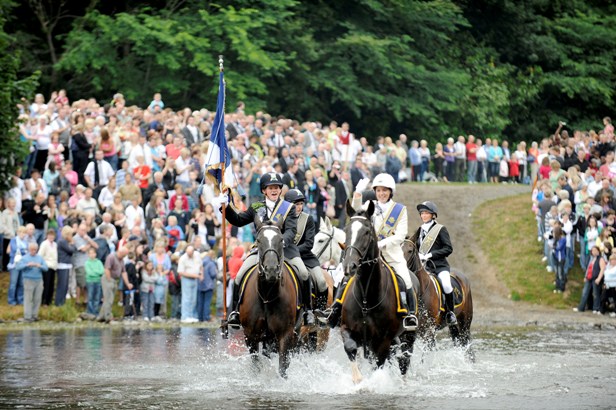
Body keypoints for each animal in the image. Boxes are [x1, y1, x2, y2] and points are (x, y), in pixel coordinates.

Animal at [238, 218, 300, 378]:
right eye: (259, 240)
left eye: (281, 240)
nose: (271, 270)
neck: (266, 296)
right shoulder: (250, 335)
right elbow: (256, 365)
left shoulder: (285, 334)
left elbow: (283, 367)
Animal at [340, 200, 416, 382]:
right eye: (346, 230)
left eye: (367, 232)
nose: (349, 266)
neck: (366, 297)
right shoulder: (346, 329)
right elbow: (350, 348)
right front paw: (358, 380)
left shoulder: (383, 341)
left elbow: (378, 365)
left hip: (408, 336)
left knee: (404, 360)